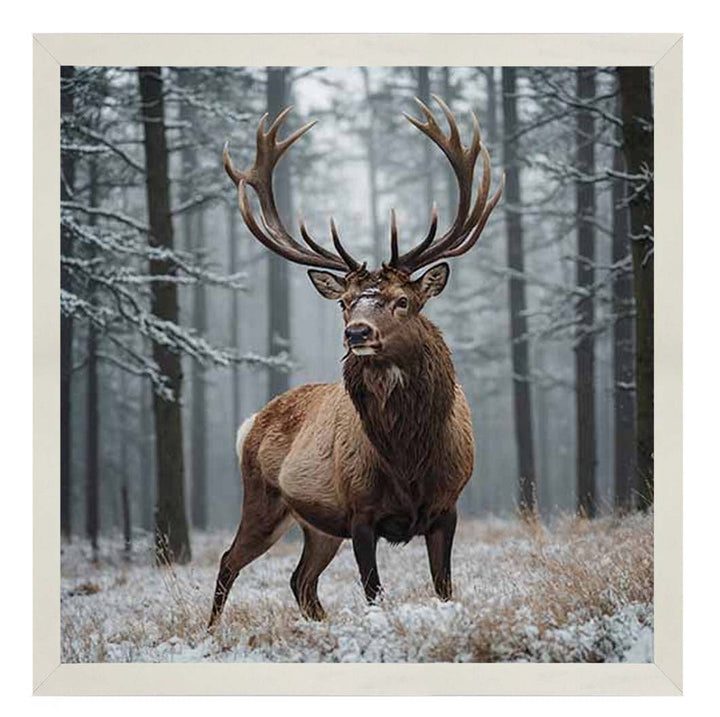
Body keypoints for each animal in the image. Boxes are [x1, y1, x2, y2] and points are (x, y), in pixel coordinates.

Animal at [208, 95, 504, 627]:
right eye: (345, 303)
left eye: (403, 301)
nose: (357, 333)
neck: (409, 459)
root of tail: (251, 422)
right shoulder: (360, 513)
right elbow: (373, 592)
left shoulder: (448, 507)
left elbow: (444, 588)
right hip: (264, 500)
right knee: (229, 560)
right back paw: (211, 632)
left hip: (318, 527)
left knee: (300, 580)